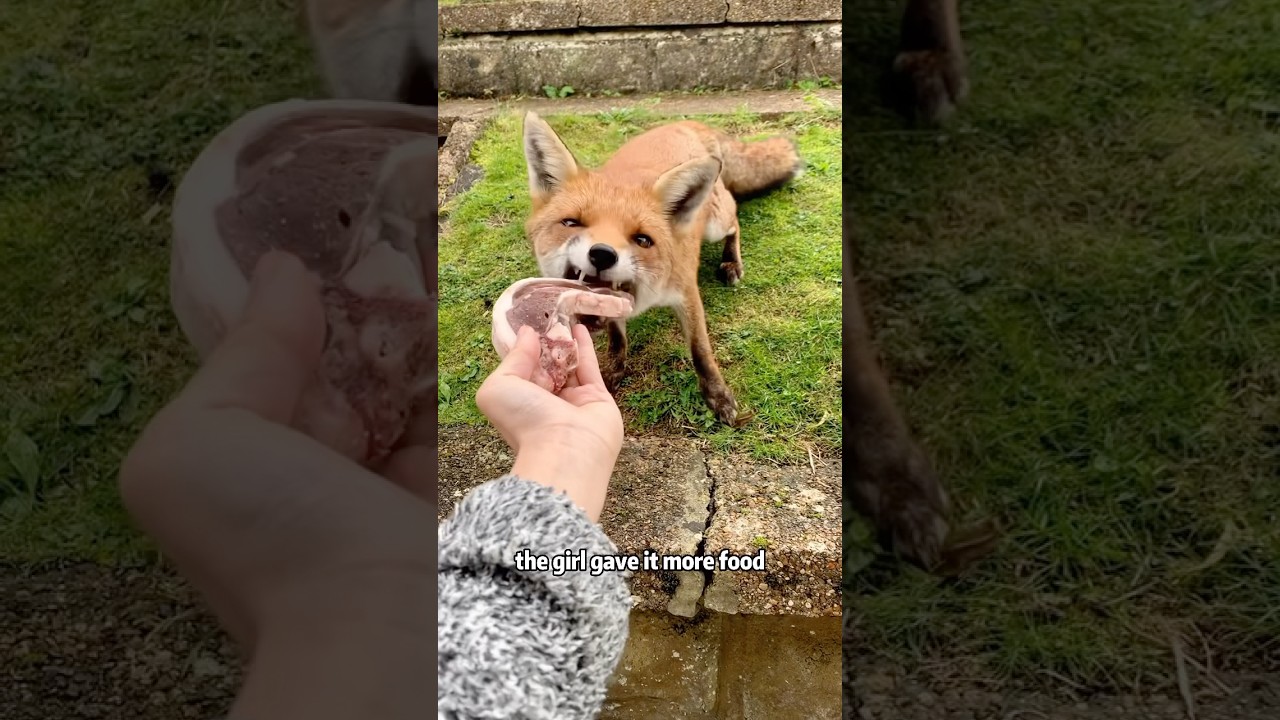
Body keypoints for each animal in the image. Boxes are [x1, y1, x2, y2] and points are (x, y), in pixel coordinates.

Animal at [520, 112, 803, 426]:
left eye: (642, 240)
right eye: (571, 223)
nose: (603, 254)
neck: (648, 294)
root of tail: (686, 123)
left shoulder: (686, 292)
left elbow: (700, 351)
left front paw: (718, 396)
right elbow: (617, 338)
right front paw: (614, 371)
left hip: (715, 225)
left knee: (735, 220)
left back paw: (732, 262)